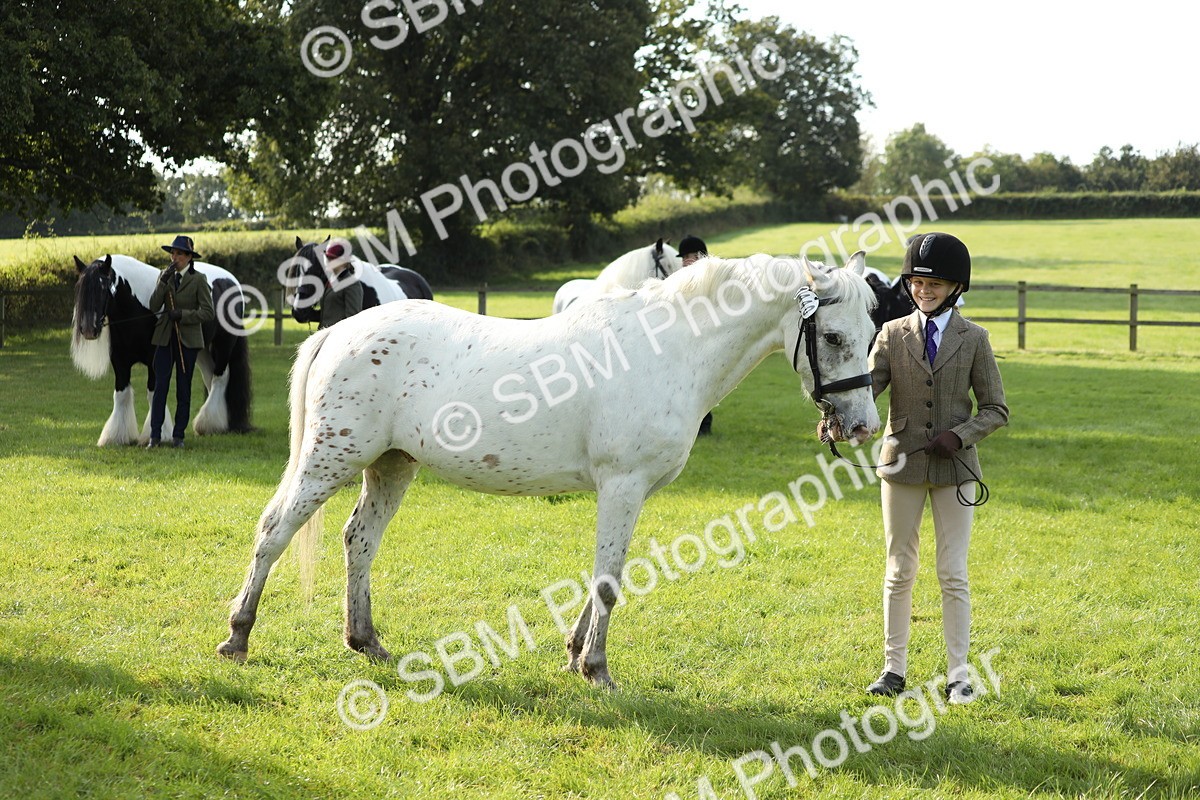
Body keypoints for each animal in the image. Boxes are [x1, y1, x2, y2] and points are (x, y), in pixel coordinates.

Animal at [71, 254, 253, 446]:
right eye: (80, 288)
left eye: (103, 287)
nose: (88, 329)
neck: (139, 308)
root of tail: (231, 280)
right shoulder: (120, 362)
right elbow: (121, 394)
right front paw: (116, 437)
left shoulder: (155, 360)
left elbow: (154, 394)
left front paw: (158, 435)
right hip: (201, 350)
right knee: (210, 378)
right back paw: (215, 424)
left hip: (224, 343)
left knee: (220, 378)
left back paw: (209, 424)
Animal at [217, 250, 881, 688]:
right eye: (833, 336)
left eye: (874, 329)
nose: (862, 425)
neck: (666, 349)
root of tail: (337, 332)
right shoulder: (622, 485)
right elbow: (610, 580)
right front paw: (597, 670)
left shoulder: (630, 493)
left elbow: (605, 574)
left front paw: (573, 652)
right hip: (331, 459)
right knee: (274, 531)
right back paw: (239, 636)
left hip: (391, 465)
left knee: (360, 539)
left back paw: (366, 642)